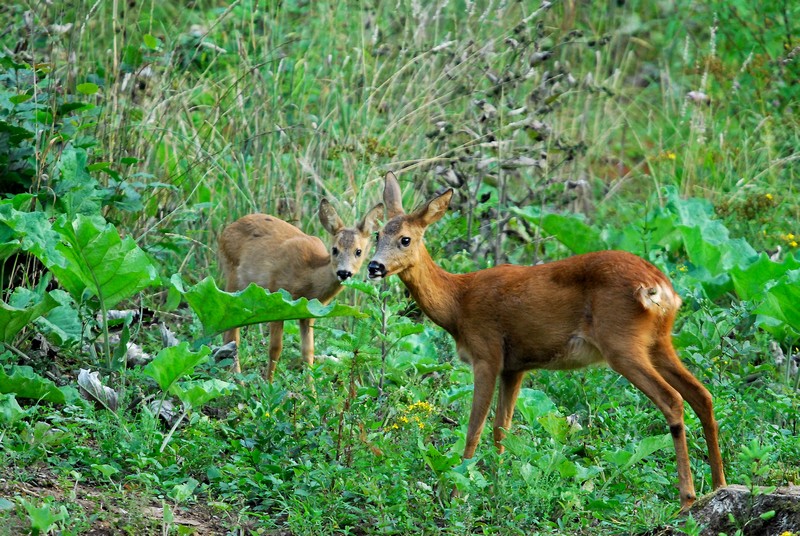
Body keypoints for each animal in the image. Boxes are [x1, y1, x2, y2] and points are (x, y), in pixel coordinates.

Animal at [217, 200, 382, 382]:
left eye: (358, 251)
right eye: (334, 249)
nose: (344, 273)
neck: (309, 277)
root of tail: (226, 230)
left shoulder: (308, 313)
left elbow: (308, 352)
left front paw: (312, 389)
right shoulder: (278, 297)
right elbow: (275, 348)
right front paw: (268, 384)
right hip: (233, 280)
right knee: (232, 336)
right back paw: (238, 380)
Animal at [368, 173, 724, 510]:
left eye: (405, 239)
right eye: (377, 235)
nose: (373, 266)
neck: (457, 303)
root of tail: (660, 288)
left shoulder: (487, 353)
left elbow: (474, 429)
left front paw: (459, 493)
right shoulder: (514, 367)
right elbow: (502, 429)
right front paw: (496, 488)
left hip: (622, 343)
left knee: (672, 399)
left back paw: (687, 498)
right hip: (658, 342)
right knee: (702, 395)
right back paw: (719, 485)